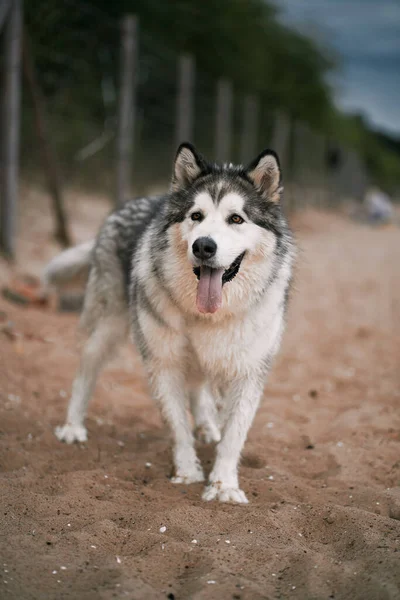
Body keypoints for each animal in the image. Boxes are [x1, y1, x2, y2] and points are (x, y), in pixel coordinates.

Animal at [47, 143, 296, 504]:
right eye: (196, 216)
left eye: (236, 218)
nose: (204, 245)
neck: (209, 315)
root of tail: (139, 201)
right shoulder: (163, 363)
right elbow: (177, 425)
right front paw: (188, 472)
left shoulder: (248, 371)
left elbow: (233, 435)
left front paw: (223, 485)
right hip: (109, 326)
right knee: (85, 370)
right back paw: (72, 427)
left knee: (200, 390)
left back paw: (207, 427)